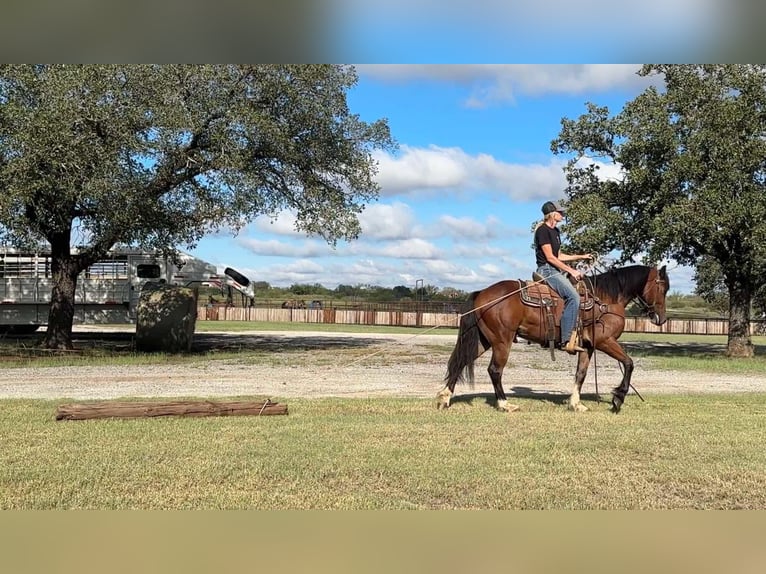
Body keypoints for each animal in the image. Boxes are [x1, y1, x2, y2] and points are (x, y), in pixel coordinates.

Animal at [438, 266, 672, 414]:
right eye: (663, 288)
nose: (660, 318)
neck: (606, 300)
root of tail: (482, 293)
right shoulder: (605, 341)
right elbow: (629, 363)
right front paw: (617, 398)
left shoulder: (588, 347)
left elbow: (581, 374)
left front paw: (576, 404)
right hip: (502, 341)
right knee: (495, 370)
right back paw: (505, 405)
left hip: (483, 340)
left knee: (460, 362)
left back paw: (445, 398)